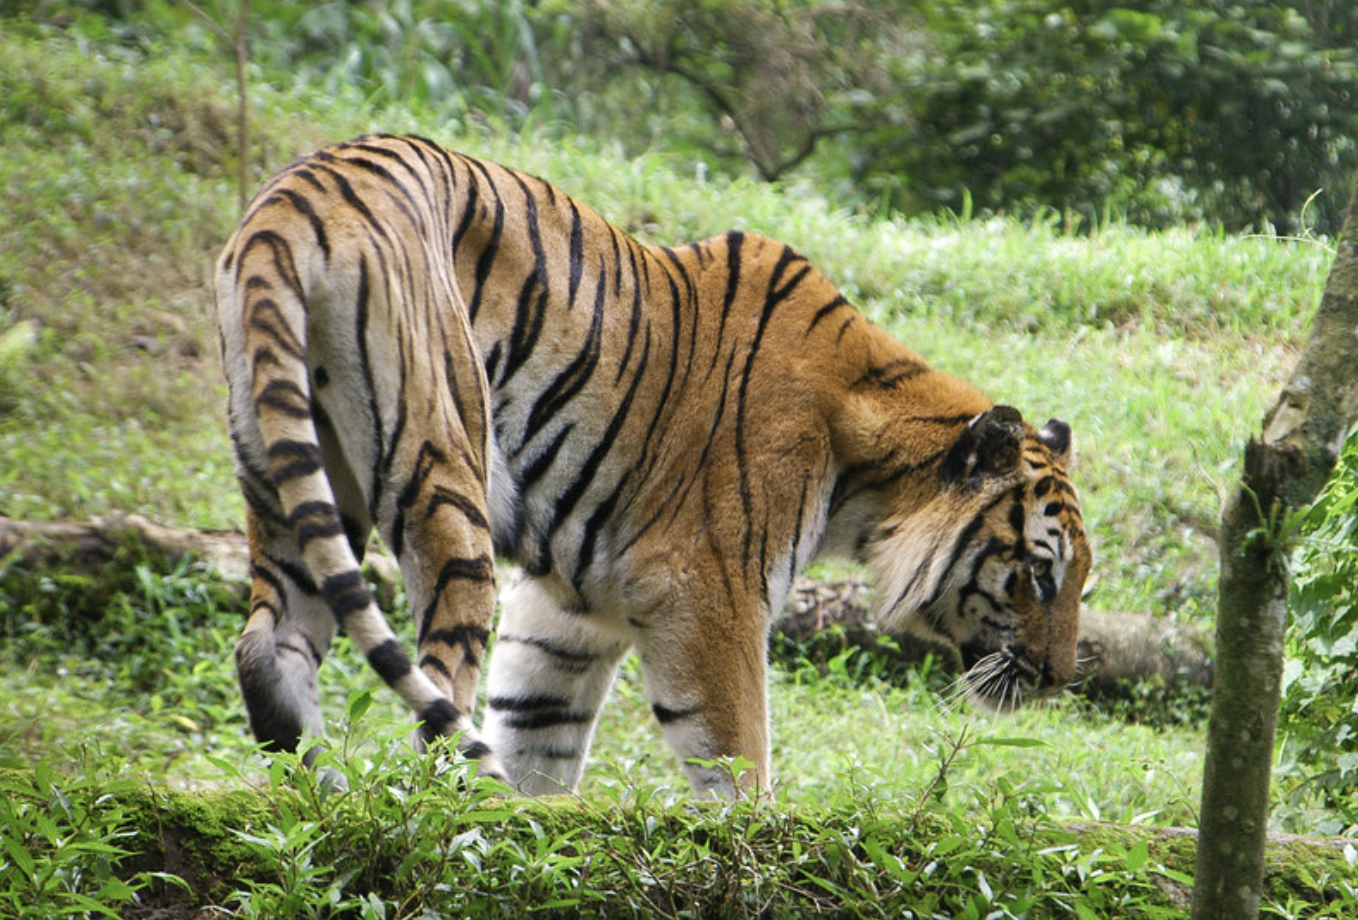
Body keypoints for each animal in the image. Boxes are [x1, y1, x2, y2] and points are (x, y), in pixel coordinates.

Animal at [219, 131, 1091, 799]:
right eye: (1037, 572)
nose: (1056, 681)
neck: (867, 480)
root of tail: (291, 198)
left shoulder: (570, 610)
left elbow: (536, 728)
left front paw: (536, 824)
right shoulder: (708, 591)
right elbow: (737, 760)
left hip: (292, 465)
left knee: (270, 647)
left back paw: (322, 793)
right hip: (441, 463)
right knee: (437, 687)